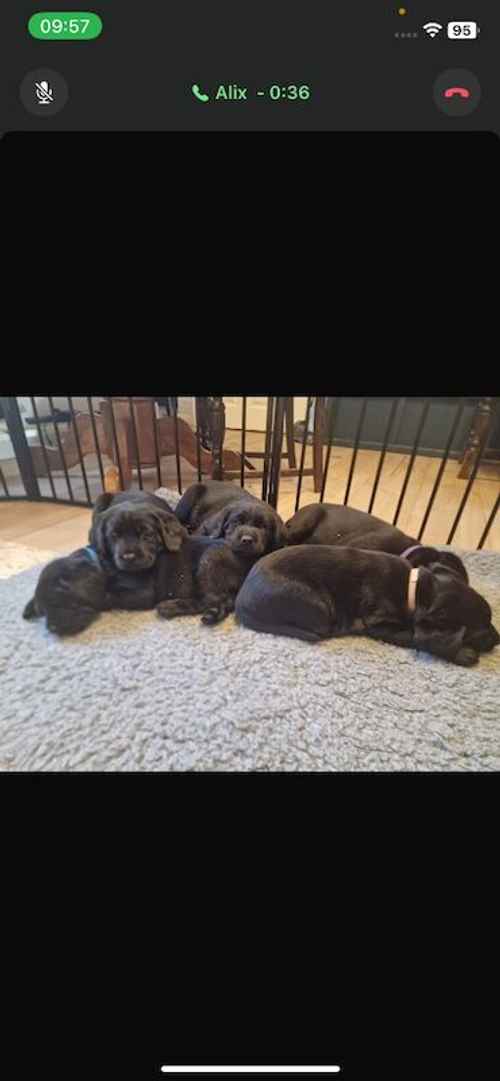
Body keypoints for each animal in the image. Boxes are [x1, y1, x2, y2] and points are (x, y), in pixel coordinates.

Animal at [235, 549, 500, 665]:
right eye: (481, 628)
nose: (498, 639)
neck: (415, 589)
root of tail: (241, 603)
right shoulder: (381, 625)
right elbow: (415, 636)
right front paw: (464, 653)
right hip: (318, 605)